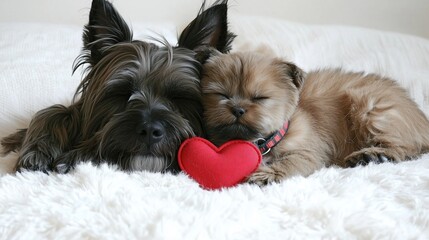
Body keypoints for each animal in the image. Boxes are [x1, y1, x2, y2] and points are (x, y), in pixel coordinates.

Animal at [200, 52, 428, 186]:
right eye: (221, 94)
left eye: (260, 98)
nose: (237, 109)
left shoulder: (308, 152)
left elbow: (291, 161)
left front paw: (268, 174)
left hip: (372, 107)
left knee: (406, 147)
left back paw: (375, 155)